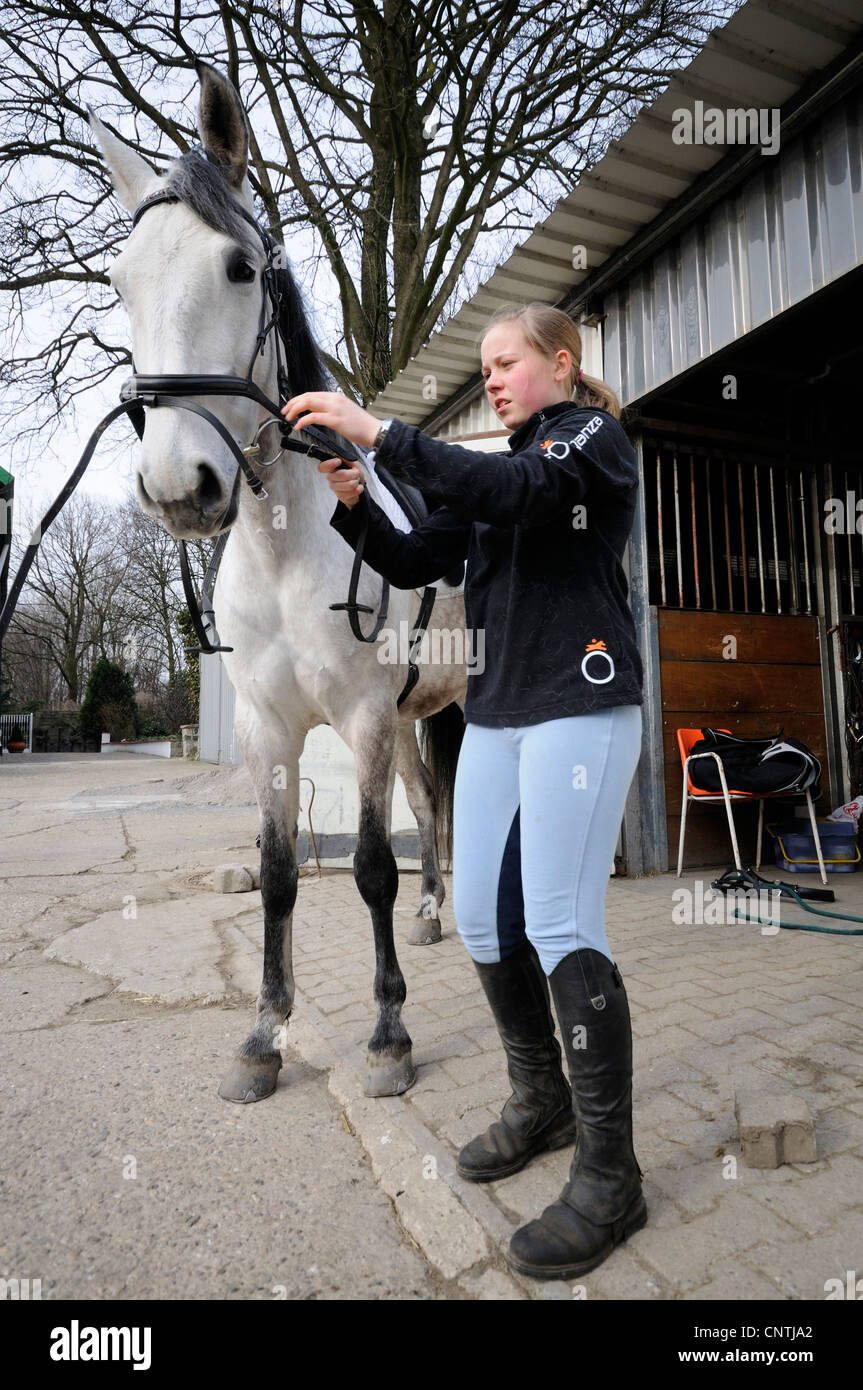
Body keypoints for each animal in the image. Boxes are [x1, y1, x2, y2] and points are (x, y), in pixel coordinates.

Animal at [88, 65, 472, 1100]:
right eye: (120, 283)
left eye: (237, 268)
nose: (179, 488)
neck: (289, 546)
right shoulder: (273, 729)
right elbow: (278, 872)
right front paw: (263, 1035)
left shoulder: (365, 717)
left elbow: (372, 867)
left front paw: (388, 1039)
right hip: (416, 719)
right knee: (432, 803)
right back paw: (435, 917)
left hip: (452, 706)